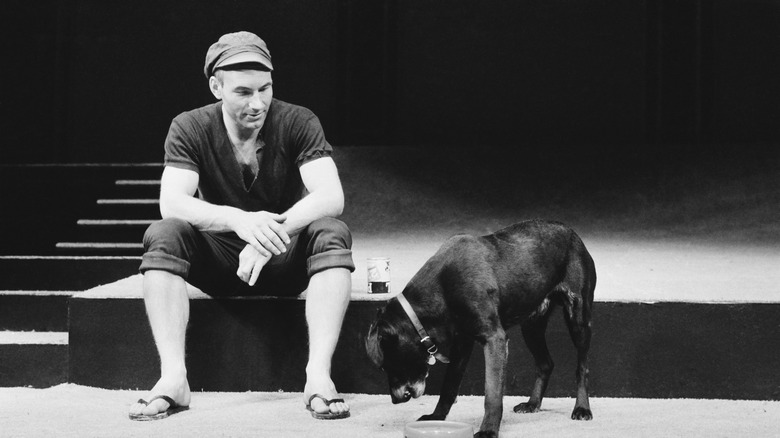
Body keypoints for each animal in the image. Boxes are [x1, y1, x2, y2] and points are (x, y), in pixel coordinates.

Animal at [366, 221, 596, 436]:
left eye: (385, 366)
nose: (395, 401)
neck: (442, 289)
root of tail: (573, 233)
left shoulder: (495, 339)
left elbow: (492, 394)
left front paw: (488, 430)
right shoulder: (462, 343)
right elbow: (449, 386)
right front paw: (436, 417)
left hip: (578, 318)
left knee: (582, 367)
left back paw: (582, 408)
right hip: (531, 325)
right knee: (546, 364)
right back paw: (532, 404)